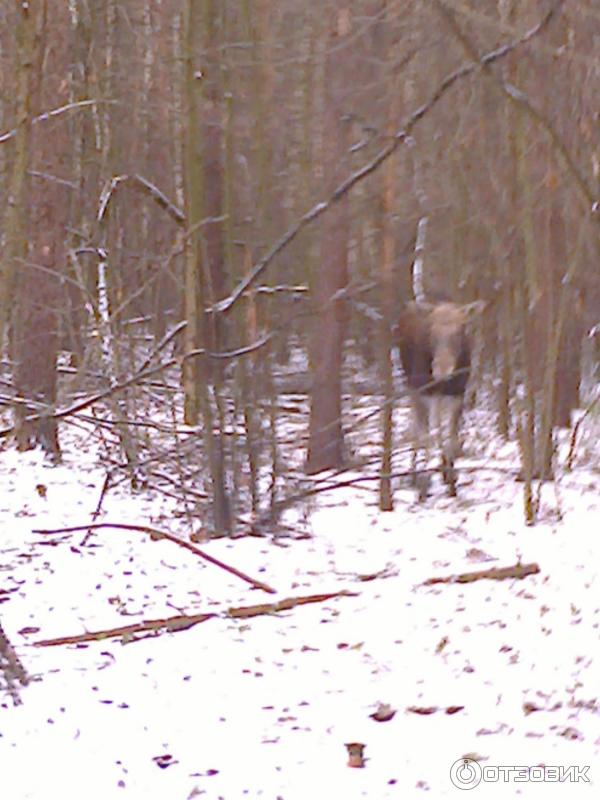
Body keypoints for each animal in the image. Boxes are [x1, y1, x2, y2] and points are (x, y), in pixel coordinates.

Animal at [396, 300, 486, 500]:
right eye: (431, 332)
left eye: (460, 331)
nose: (441, 370)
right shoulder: (425, 392)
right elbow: (430, 435)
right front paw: (426, 482)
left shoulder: (458, 393)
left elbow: (451, 436)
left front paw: (451, 479)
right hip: (413, 386)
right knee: (419, 427)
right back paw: (415, 471)